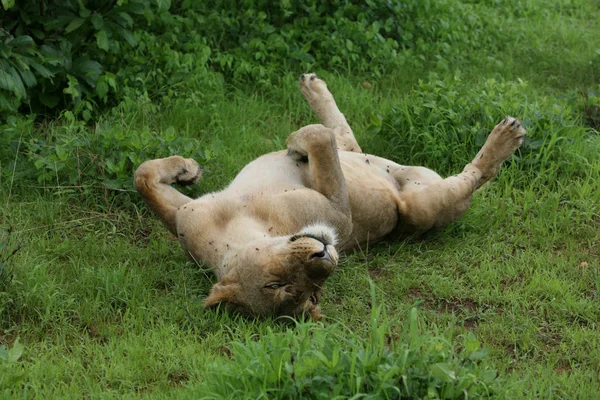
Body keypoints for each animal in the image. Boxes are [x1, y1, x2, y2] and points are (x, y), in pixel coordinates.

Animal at [132, 72, 524, 318]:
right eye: (299, 290)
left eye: (274, 280)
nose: (325, 256)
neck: (241, 226)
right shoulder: (341, 215)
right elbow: (319, 137)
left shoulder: (187, 216)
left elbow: (142, 176)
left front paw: (186, 169)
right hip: (419, 209)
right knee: (473, 177)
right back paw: (505, 139)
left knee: (349, 142)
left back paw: (313, 88)